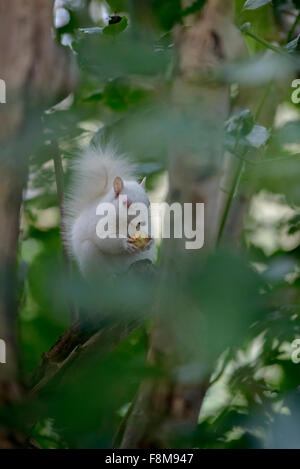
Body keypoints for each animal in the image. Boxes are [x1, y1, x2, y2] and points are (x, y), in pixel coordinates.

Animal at [64, 144, 156, 278]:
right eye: (126, 203)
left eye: (149, 203)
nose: (140, 222)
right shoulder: (97, 222)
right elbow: (104, 239)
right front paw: (125, 243)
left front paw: (150, 240)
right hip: (89, 255)